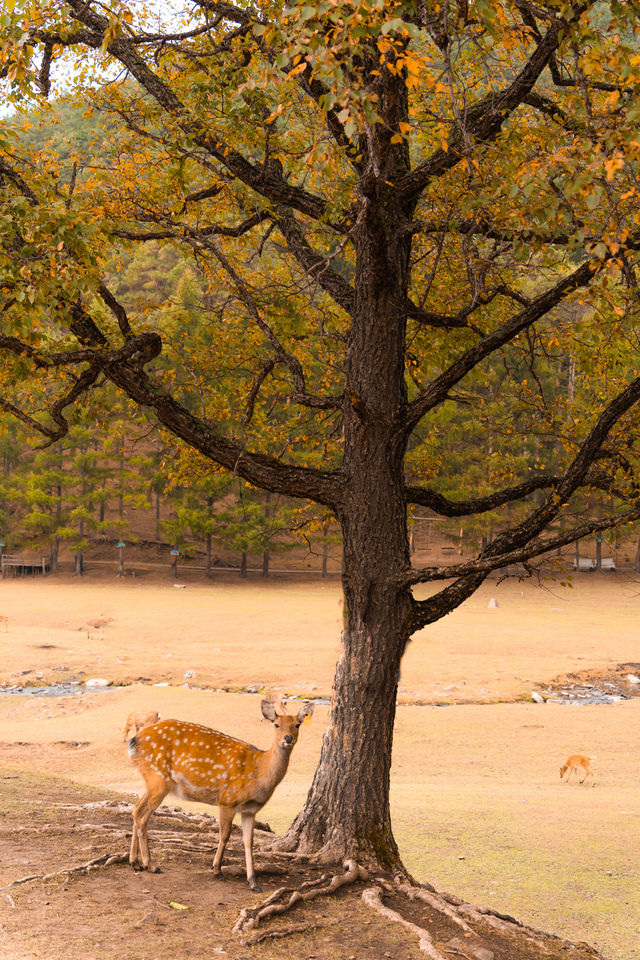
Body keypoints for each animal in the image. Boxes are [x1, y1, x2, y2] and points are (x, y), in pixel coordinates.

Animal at [127, 696, 312, 892]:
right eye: (276, 724)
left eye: (297, 724)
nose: (288, 738)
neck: (259, 772)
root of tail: (133, 742)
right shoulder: (227, 800)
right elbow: (225, 835)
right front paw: (216, 869)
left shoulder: (250, 809)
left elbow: (249, 841)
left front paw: (253, 882)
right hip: (158, 778)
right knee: (142, 815)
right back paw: (150, 864)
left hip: (152, 781)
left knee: (136, 810)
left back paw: (135, 862)